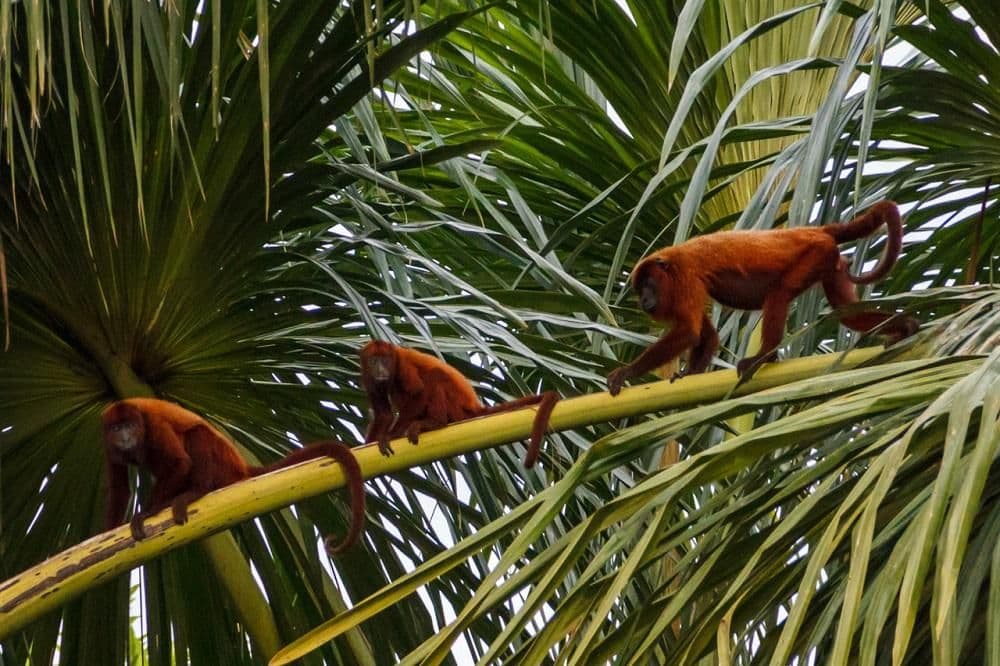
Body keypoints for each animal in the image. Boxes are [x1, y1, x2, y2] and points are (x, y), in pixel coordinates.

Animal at [102, 398, 365, 552]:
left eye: (130, 426)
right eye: (116, 428)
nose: (125, 437)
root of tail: (240, 466)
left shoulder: (154, 424)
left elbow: (180, 462)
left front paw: (147, 512)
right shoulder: (106, 441)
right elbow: (119, 487)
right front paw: (107, 532)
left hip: (221, 465)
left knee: (197, 434)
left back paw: (195, 492)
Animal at [360, 341, 559, 468]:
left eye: (385, 360)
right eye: (374, 361)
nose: (381, 370)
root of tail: (474, 407)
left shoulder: (403, 365)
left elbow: (419, 392)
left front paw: (391, 435)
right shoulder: (368, 377)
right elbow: (384, 414)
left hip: (456, 407)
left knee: (435, 376)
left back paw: (435, 422)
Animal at [607, 200, 919, 395]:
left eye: (648, 285)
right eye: (639, 290)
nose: (643, 301)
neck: (669, 265)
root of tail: (817, 230)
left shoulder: (685, 276)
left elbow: (687, 331)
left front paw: (626, 372)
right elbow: (706, 335)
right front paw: (690, 375)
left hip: (816, 253)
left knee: (778, 293)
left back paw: (764, 356)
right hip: (833, 262)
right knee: (848, 313)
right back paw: (905, 327)